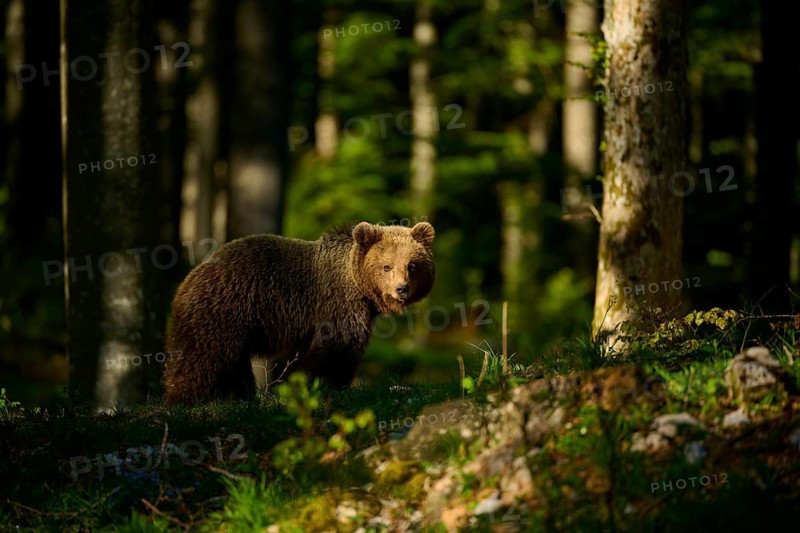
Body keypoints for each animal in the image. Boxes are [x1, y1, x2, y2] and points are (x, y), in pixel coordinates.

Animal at [163, 221, 435, 405]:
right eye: (386, 266)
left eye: (412, 265)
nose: (401, 289)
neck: (360, 286)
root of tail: (189, 278)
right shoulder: (339, 304)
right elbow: (339, 346)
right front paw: (324, 384)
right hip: (222, 312)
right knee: (202, 357)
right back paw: (182, 398)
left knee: (233, 363)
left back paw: (239, 395)